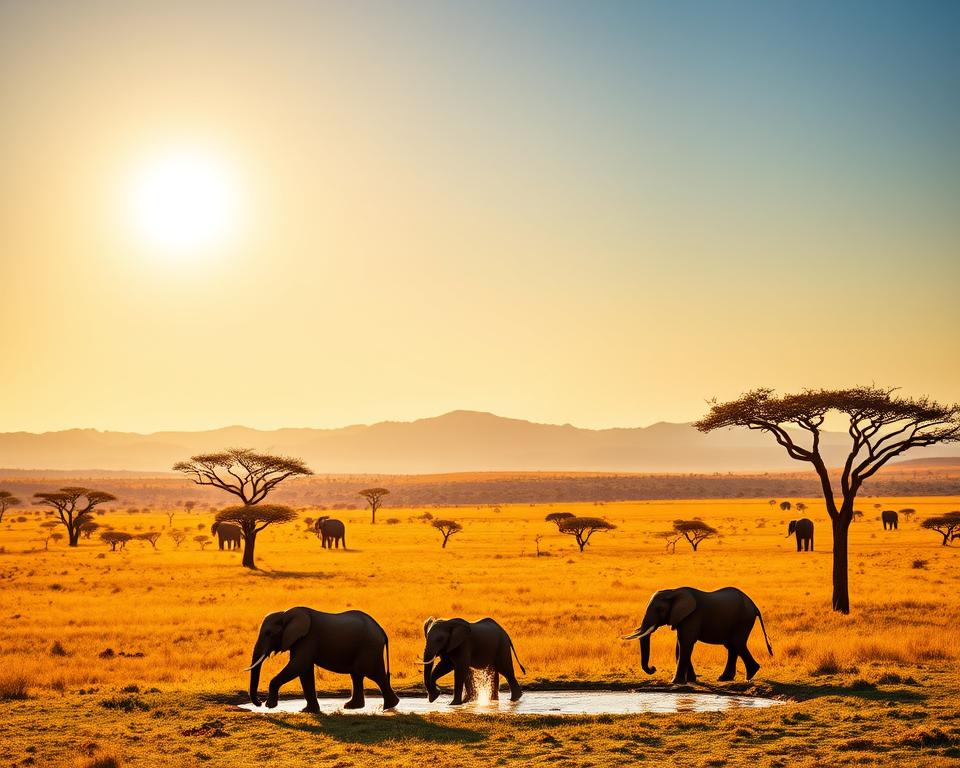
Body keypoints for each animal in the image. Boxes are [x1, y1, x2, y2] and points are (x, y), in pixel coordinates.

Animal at [246, 607, 399, 713]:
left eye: (268, 633)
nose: (259, 702)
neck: (285, 614)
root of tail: (382, 631)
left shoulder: (307, 638)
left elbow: (299, 665)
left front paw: (270, 705)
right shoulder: (299, 640)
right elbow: (304, 671)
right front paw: (308, 711)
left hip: (369, 647)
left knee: (375, 674)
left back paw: (388, 707)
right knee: (357, 675)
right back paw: (353, 707)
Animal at [622, 587, 773, 684]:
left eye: (659, 609)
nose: (653, 668)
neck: (673, 591)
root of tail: (755, 606)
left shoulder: (692, 616)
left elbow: (685, 643)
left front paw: (675, 682)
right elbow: (680, 646)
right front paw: (690, 680)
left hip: (743, 620)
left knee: (737, 643)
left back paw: (749, 675)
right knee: (732, 646)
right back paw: (725, 678)